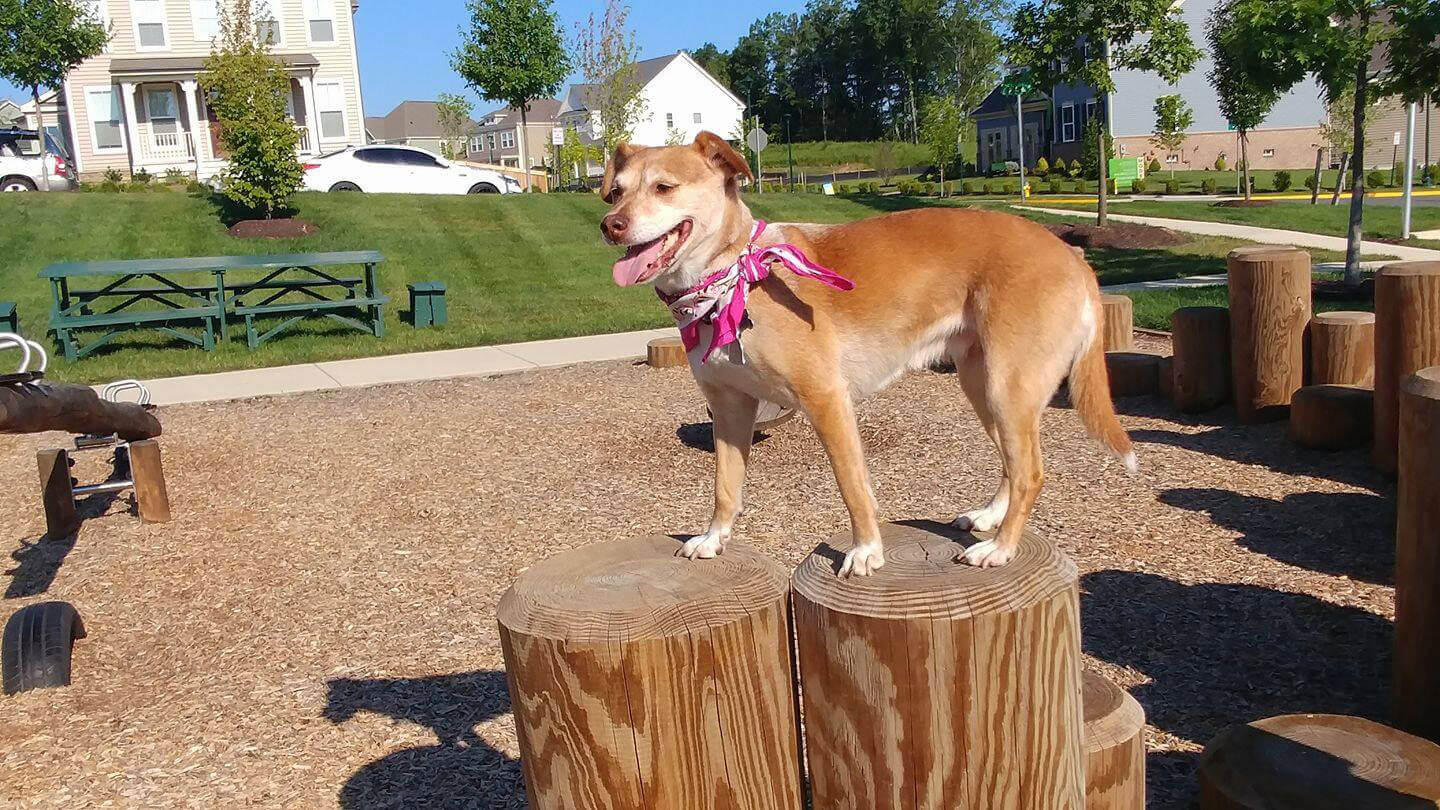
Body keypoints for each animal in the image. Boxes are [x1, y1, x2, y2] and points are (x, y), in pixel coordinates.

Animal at [599, 132, 1134, 573]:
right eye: (616, 190)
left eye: (664, 187)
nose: (610, 225)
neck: (732, 278)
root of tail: (1072, 256)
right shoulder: (730, 408)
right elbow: (725, 487)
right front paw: (714, 538)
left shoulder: (827, 400)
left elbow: (853, 487)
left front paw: (866, 551)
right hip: (982, 386)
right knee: (1011, 461)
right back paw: (989, 517)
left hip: (1008, 386)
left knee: (1031, 473)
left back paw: (1000, 548)